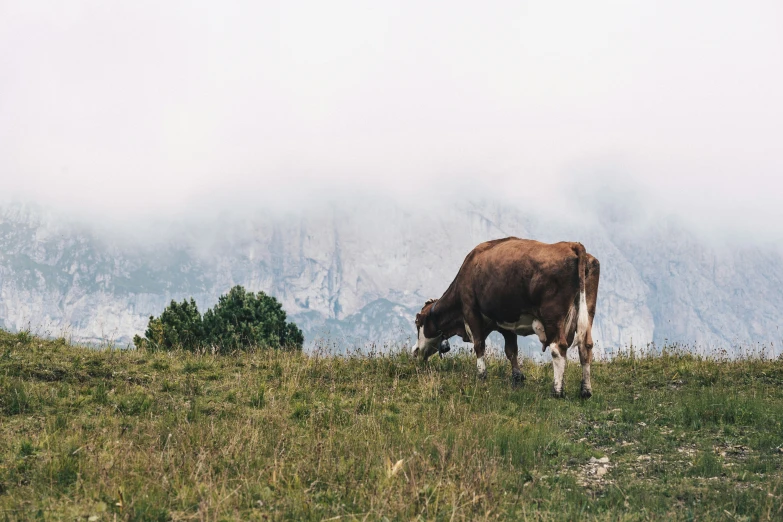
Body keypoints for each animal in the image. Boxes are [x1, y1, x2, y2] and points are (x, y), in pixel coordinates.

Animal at [416, 238, 600, 396]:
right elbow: (511, 351)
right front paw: (517, 377)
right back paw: (586, 390)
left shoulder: (470, 310)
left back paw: (557, 391)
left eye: (417, 323)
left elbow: (479, 345)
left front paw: (481, 375)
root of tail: (571, 245)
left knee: (558, 348)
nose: (415, 352)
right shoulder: (507, 323)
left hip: (553, 317)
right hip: (588, 311)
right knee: (586, 346)